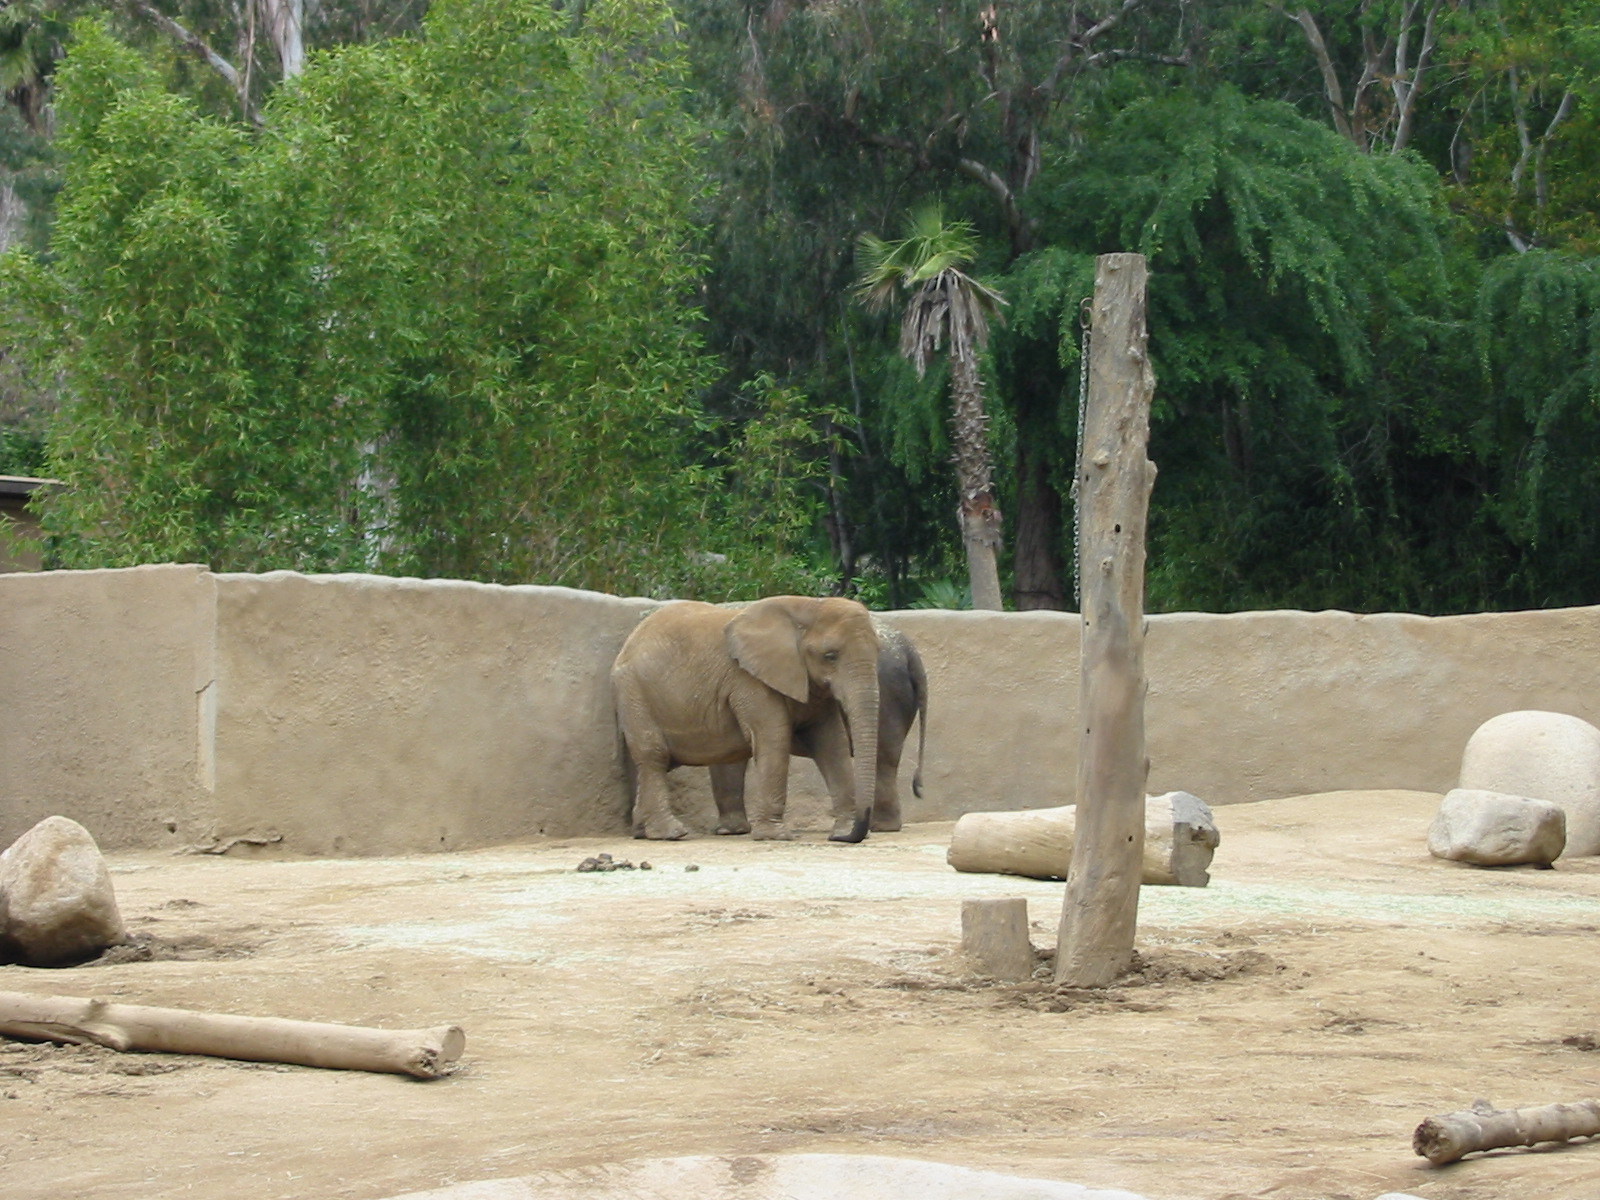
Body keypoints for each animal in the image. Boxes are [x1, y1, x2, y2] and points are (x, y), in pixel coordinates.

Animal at [611, 595, 881, 842]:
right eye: (830, 655)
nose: (843, 839)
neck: (807, 605)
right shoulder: (748, 680)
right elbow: (774, 738)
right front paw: (775, 836)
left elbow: (831, 743)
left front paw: (843, 831)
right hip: (633, 691)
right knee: (654, 755)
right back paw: (671, 834)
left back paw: (644, 832)